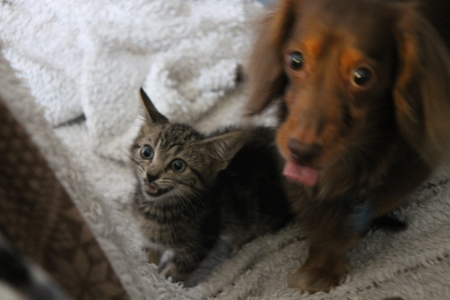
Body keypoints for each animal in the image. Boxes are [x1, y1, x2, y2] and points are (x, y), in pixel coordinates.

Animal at [130, 88, 292, 284]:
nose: (151, 175)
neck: (158, 208)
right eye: (147, 152)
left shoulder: (200, 243)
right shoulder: (151, 240)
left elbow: (175, 274)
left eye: (178, 165)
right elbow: (148, 260)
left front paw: (164, 282)